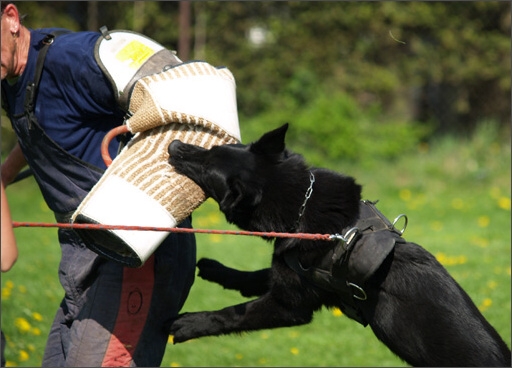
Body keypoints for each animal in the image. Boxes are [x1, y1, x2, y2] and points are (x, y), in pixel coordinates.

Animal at [167, 125, 508, 366]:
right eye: (212, 148)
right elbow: (257, 276)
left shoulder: (290, 306)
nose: (173, 145)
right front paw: (218, 271)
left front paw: (190, 323)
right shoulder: (302, 277)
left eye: (207, 169)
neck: (300, 204)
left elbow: (234, 314)